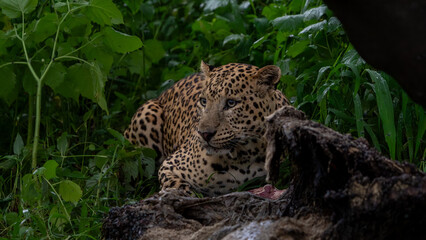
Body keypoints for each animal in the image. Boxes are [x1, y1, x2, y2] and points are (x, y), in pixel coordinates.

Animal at [124, 61, 290, 196]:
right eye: (203, 101)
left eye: (231, 103)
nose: (204, 134)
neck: (245, 154)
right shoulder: (170, 165)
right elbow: (179, 185)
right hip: (147, 114)